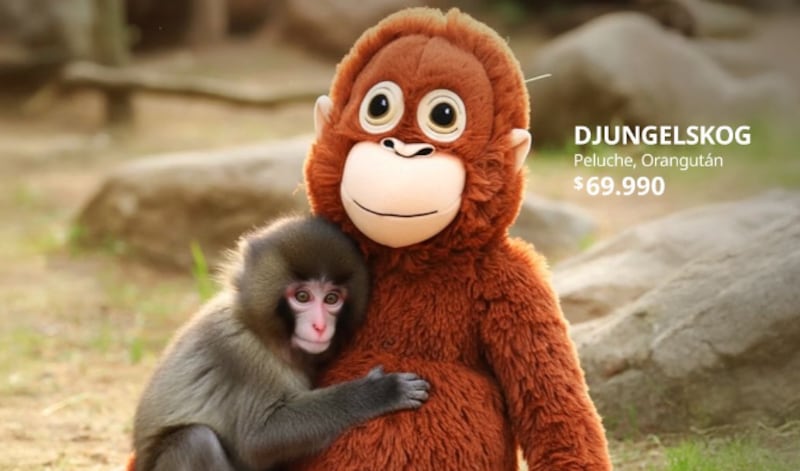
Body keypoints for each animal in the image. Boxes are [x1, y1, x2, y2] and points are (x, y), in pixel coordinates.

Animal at [130, 216, 430, 471]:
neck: (261, 332)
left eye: (331, 299)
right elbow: (258, 437)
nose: (320, 326)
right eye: (302, 296)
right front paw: (380, 392)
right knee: (195, 441)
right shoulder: (238, 352)